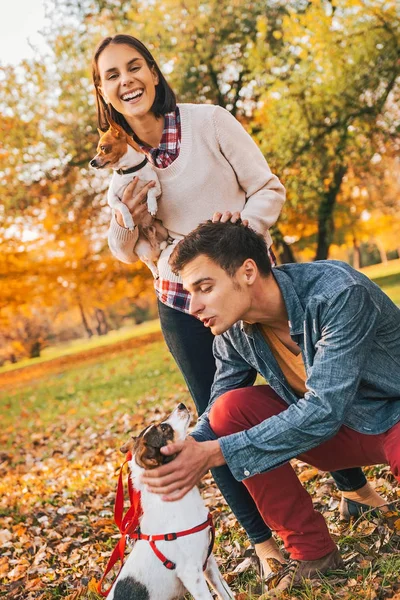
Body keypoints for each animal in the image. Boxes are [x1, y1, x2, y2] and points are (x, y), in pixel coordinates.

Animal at [90, 122, 169, 282]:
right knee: (148, 262)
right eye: (97, 150)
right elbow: (123, 207)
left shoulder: (156, 188)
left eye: (103, 148)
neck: (130, 171)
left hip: (161, 229)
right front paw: (129, 222)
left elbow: (150, 193)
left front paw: (152, 207)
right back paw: (155, 271)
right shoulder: (112, 200)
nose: (92, 162)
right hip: (141, 249)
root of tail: (155, 247)